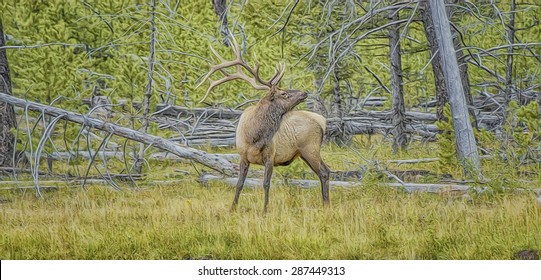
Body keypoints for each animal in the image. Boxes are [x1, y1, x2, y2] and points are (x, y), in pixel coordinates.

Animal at [195, 37, 330, 212]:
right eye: (284, 93)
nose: (304, 93)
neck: (254, 137)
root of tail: (322, 120)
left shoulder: (270, 156)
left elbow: (266, 184)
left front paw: (265, 209)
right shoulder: (243, 156)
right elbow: (239, 184)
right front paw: (233, 208)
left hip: (310, 148)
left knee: (324, 171)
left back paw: (326, 203)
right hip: (305, 152)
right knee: (324, 171)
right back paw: (325, 203)